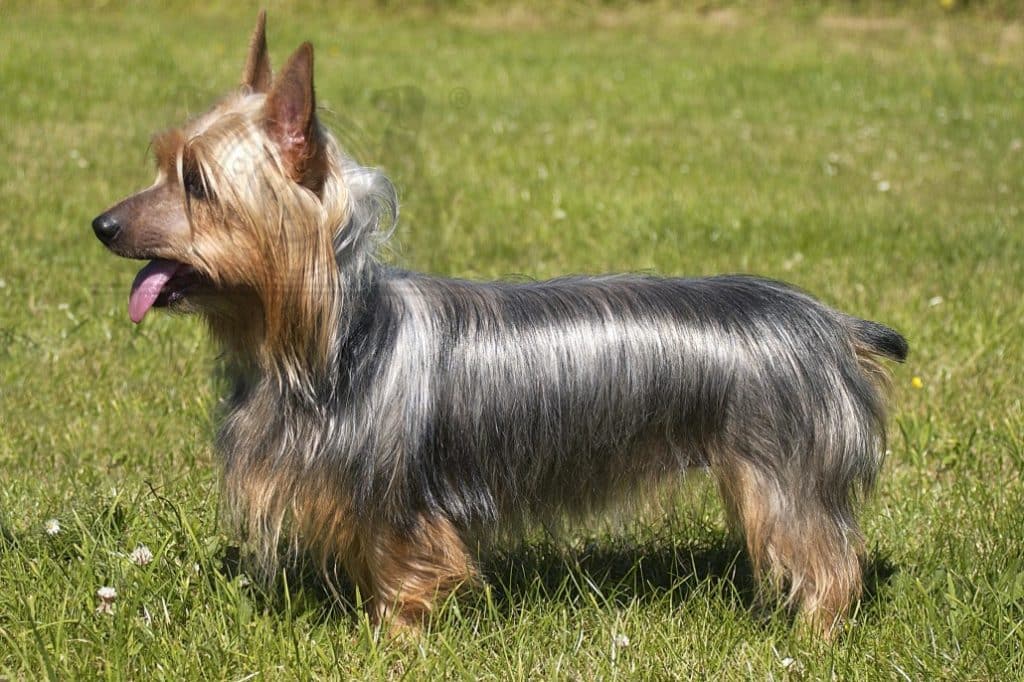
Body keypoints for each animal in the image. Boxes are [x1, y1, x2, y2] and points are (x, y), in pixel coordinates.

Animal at [94, 13, 905, 634]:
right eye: (162, 165)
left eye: (197, 184)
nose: (101, 224)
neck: (332, 343)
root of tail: (832, 323)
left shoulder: (397, 508)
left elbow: (407, 579)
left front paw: (394, 645)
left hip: (786, 478)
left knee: (828, 563)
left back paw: (813, 637)